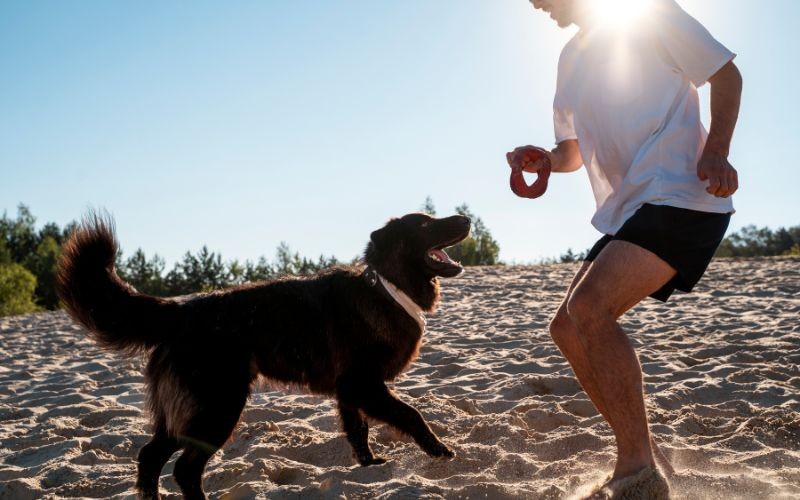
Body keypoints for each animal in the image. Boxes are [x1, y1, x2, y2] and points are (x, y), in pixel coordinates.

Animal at [57, 212, 468, 500]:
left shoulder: (349, 393)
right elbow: (411, 414)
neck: (386, 287)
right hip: (216, 408)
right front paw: (440, 450)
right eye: (425, 223)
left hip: (185, 415)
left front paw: (369, 466)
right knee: (183, 470)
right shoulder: (363, 385)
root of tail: (182, 312)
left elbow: (358, 431)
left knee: (149, 457)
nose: (466, 218)